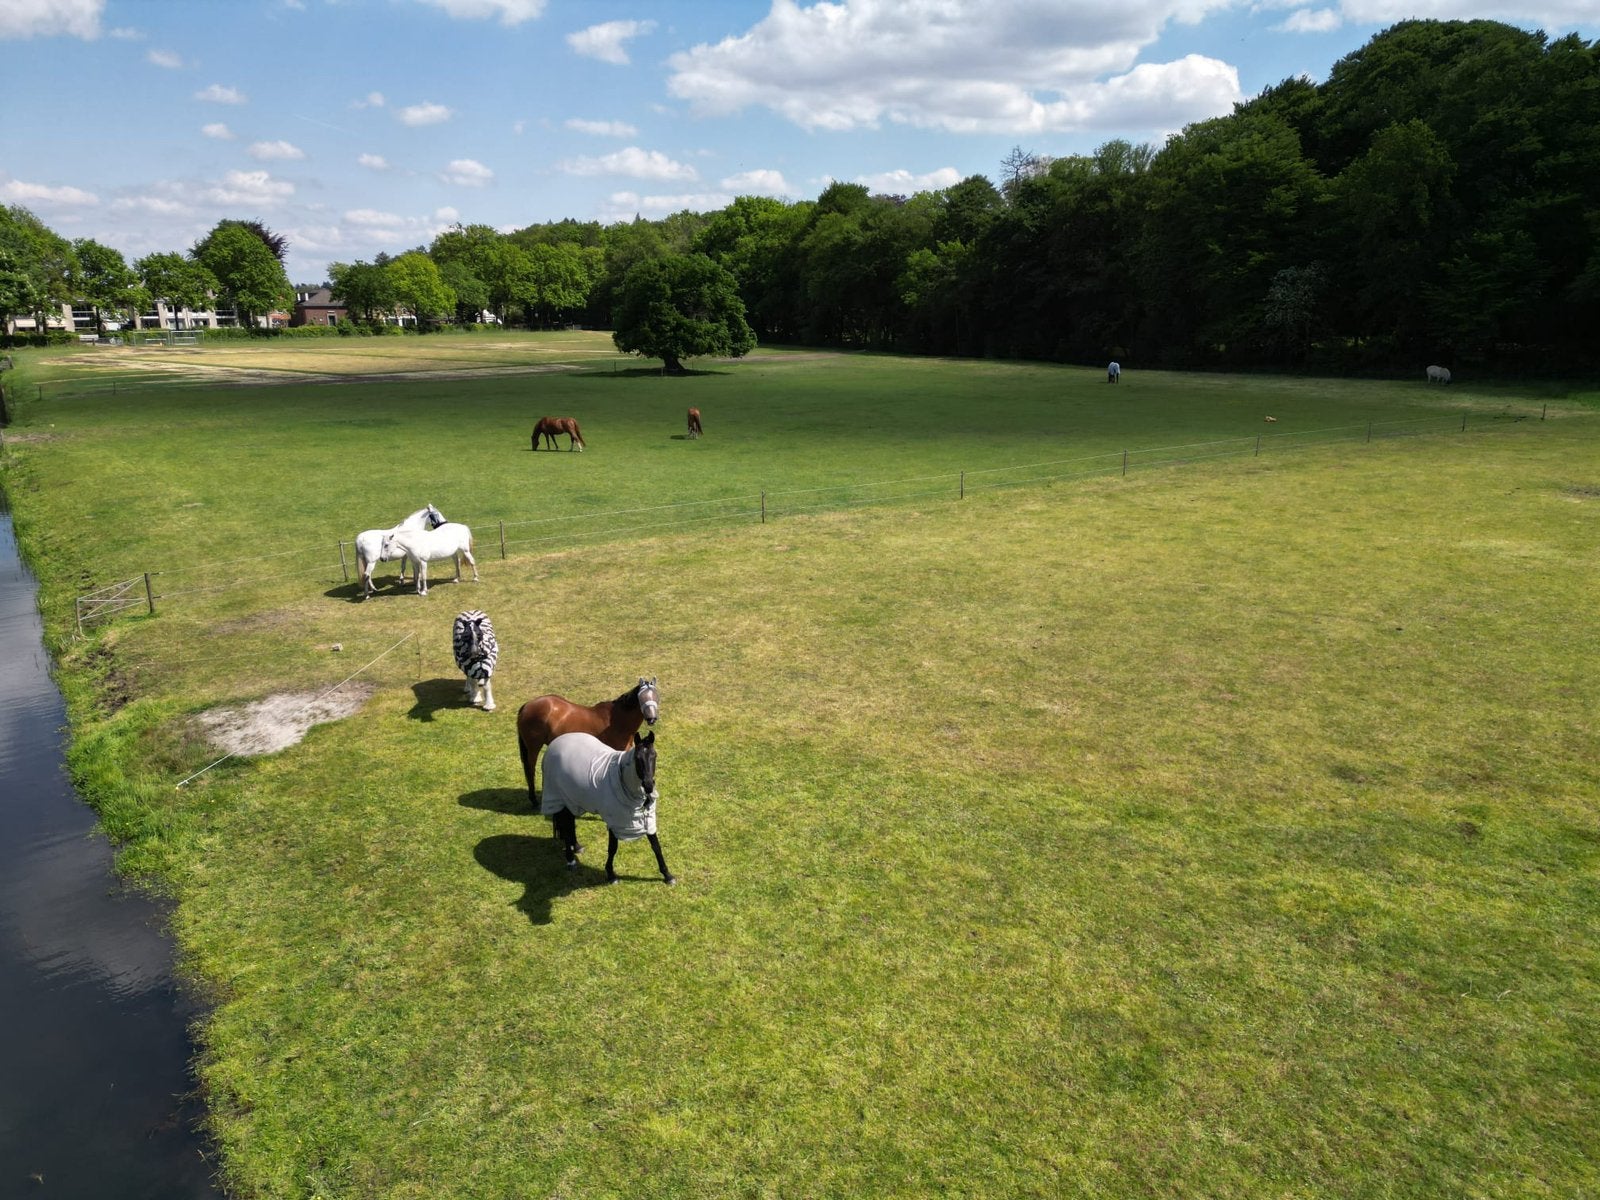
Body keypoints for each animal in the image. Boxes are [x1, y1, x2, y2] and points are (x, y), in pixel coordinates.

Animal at [515, 676, 659, 805]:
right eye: (642, 697)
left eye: (656, 695)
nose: (652, 718)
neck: (616, 719)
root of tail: (526, 706)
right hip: (533, 747)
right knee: (530, 769)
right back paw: (534, 800)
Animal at [543, 729, 673, 885]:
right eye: (637, 758)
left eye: (654, 755)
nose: (648, 786)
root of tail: (555, 742)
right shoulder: (614, 820)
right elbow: (613, 848)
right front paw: (611, 874)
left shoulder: (646, 819)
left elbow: (656, 846)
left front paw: (668, 875)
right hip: (560, 798)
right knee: (565, 825)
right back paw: (570, 860)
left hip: (571, 800)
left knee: (569, 823)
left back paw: (577, 847)